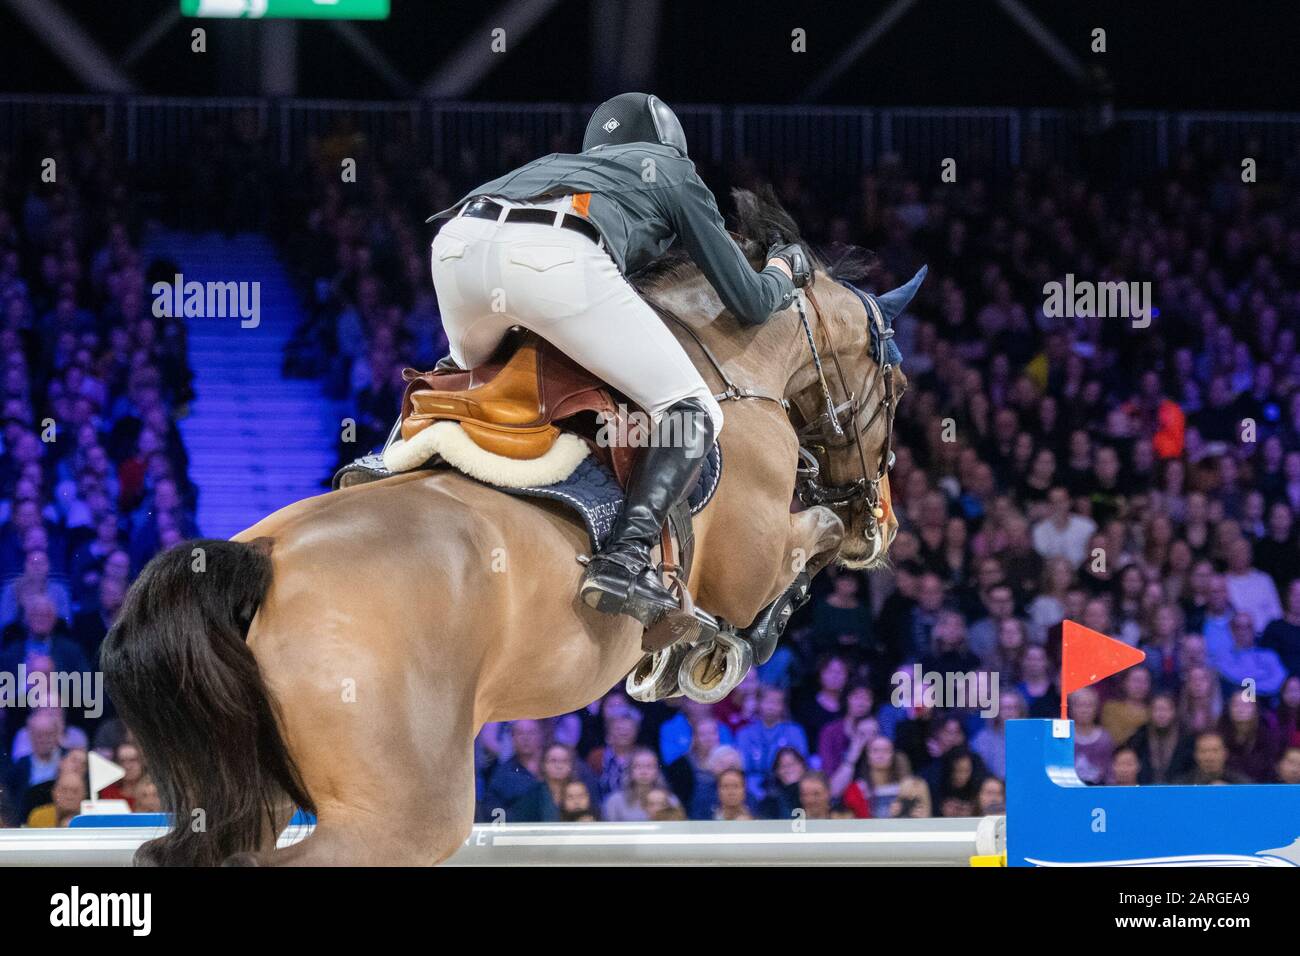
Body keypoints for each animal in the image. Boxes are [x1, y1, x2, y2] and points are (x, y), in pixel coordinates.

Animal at [101, 188, 915, 868]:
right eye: (899, 385)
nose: (882, 524)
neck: (733, 368)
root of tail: (259, 560)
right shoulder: (749, 564)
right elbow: (803, 553)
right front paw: (715, 654)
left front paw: (676, 655)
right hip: (398, 816)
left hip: (263, 784)